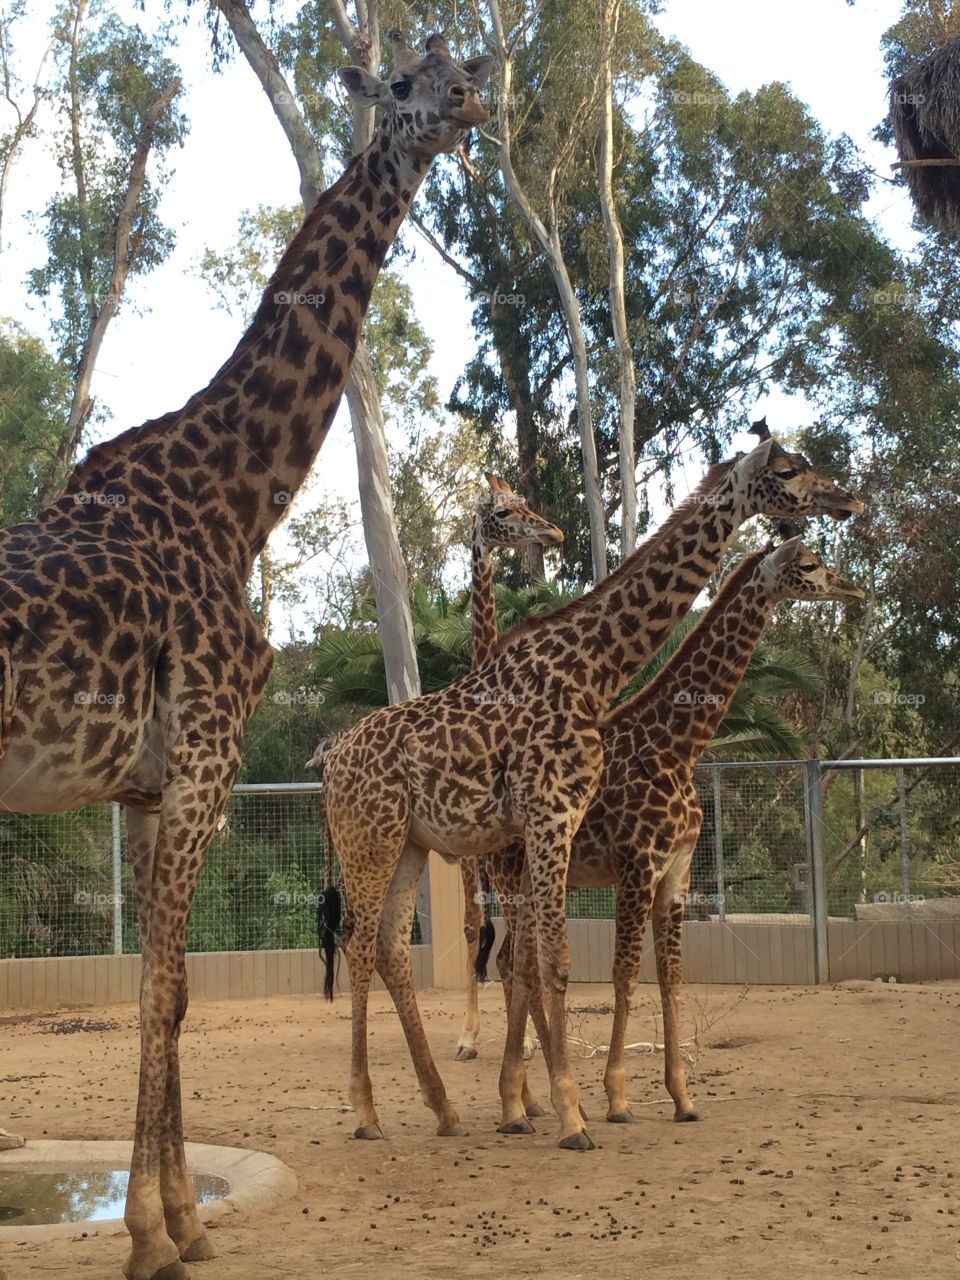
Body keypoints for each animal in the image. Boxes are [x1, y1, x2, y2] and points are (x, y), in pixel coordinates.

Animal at [0, 32, 491, 1280]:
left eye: (457, 61)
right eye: (405, 82)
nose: (471, 97)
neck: (235, 501)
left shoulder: (148, 785)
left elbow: (164, 992)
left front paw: (181, 1219)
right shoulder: (207, 760)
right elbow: (167, 989)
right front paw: (151, 1233)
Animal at [486, 538, 864, 1125]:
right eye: (808, 566)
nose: (855, 589)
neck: (680, 749)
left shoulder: (677, 873)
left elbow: (671, 976)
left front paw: (683, 1097)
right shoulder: (638, 866)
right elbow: (624, 975)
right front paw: (618, 1098)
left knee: (514, 963)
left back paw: (532, 1099)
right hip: (511, 880)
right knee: (515, 965)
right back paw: (524, 1102)